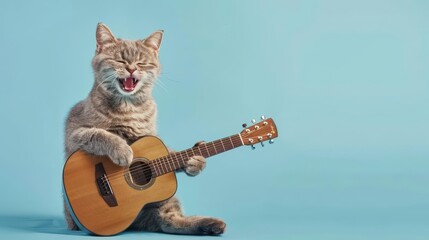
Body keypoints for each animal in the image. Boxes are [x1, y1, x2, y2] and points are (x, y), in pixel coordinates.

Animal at [63, 23, 226, 236]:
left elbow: (170, 154)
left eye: (141, 63)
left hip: (166, 202)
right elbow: (101, 134)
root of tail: (136, 223)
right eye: (120, 60)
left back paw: (211, 224)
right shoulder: (75, 133)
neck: (129, 106)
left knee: (169, 221)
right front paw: (123, 151)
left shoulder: (152, 137)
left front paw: (195, 161)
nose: (131, 68)